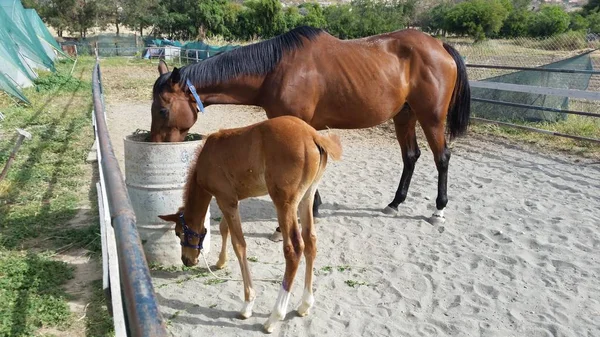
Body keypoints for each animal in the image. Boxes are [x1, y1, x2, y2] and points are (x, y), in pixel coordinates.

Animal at [150, 25, 468, 226]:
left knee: (442, 157)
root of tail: (439, 45)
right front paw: (313, 206)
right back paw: (395, 203)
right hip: (405, 115)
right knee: (411, 156)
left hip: (431, 117)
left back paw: (438, 210)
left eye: (163, 109)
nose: (157, 145)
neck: (275, 69)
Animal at [157, 115, 342, 330]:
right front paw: (220, 262)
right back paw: (305, 304)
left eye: (178, 233)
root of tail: (313, 135)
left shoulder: (225, 199)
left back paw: (274, 317)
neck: (206, 158)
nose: (186, 260)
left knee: (294, 249)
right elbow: (224, 228)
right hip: (307, 196)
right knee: (311, 240)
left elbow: (239, 244)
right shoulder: (230, 200)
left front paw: (247, 304)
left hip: (284, 202)